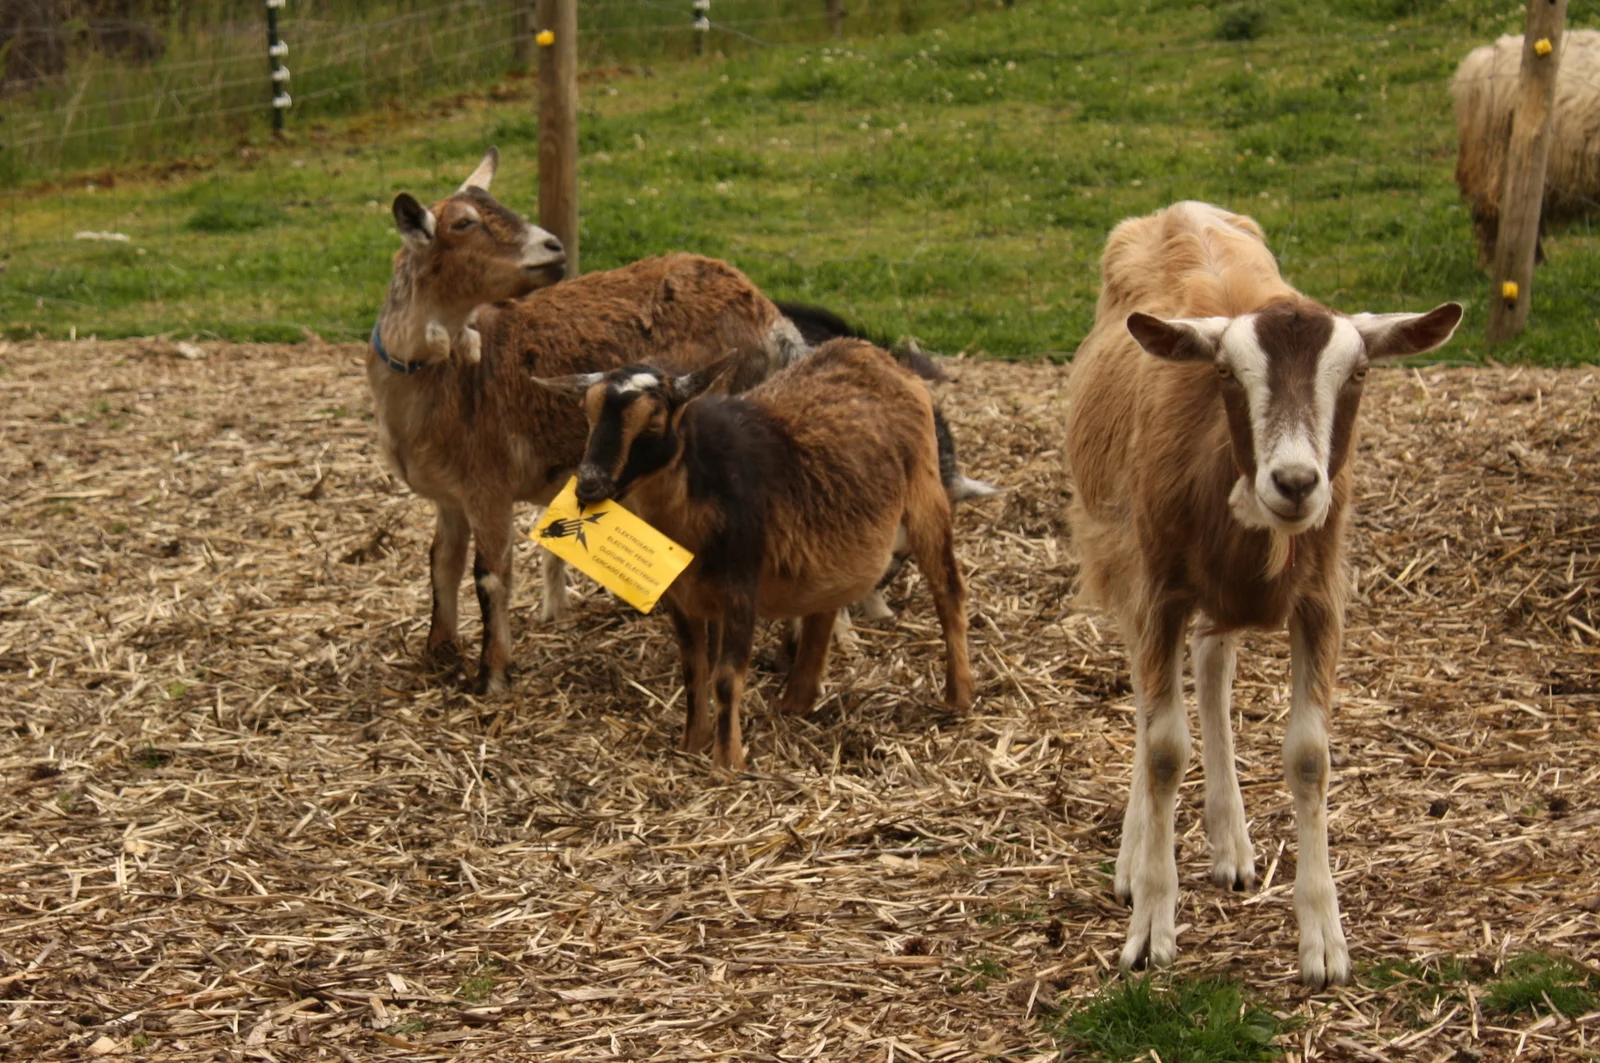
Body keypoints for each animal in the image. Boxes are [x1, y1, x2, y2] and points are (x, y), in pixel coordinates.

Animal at [371, 149, 806, 693]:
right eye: (464, 222)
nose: (553, 247)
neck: (449, 378)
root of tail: (771, 318)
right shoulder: (448, 497)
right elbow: (441, 564)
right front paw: (437, 653)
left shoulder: (488, 484)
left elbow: (490, 575)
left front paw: (493, 675)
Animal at [535, 338, 975, 771]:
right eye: (588, 416)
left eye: (653, 424)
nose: (589, 485)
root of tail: (874, 354)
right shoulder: (680, 596)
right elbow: (693, 669)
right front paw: (691, 744)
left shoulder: (741, 587)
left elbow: (726, 677)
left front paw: (728, 763)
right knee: (826, 605)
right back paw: (796, 701)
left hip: (926, 493)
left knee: (949, 590)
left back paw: (959, 696)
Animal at [1065, 201, 1461, 987]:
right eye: (1223, 371)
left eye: (1359, 372)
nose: (1297, 482)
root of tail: (1179, 210)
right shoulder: (1158, 589)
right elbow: (1162, 748)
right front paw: (1150, 927)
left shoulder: (1321, 599)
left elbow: (1309, 755)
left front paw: (1324, 942)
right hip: (1119, 557)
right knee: (1148, 690)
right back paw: (1134, 856)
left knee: (1213, 662)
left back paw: (1232, 843)